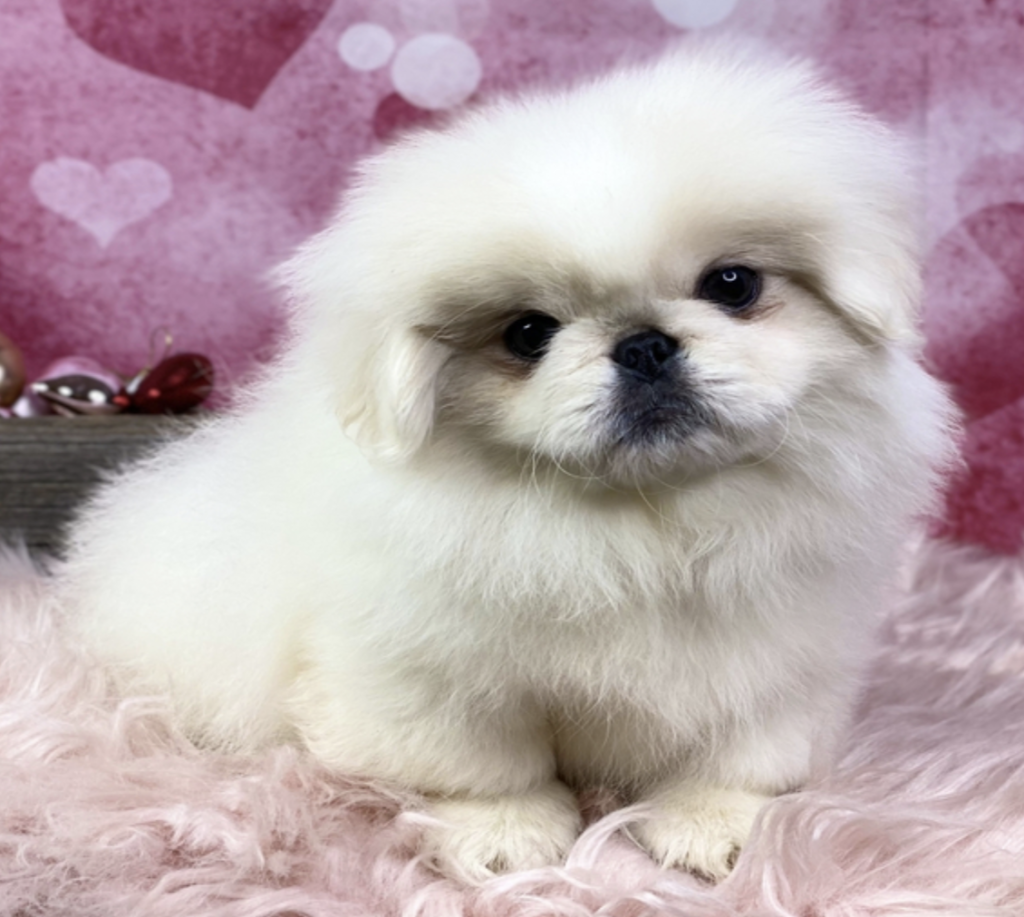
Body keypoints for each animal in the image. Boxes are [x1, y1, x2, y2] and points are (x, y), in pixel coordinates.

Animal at [59, 43, 957, 883]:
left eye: (732, 284)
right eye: (527, 334)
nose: (642, 343)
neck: (643, 523)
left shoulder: (779, 663)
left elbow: (738, 757)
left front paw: (713, 826)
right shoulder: (429, 680)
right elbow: (483, 770)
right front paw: (504, 835)